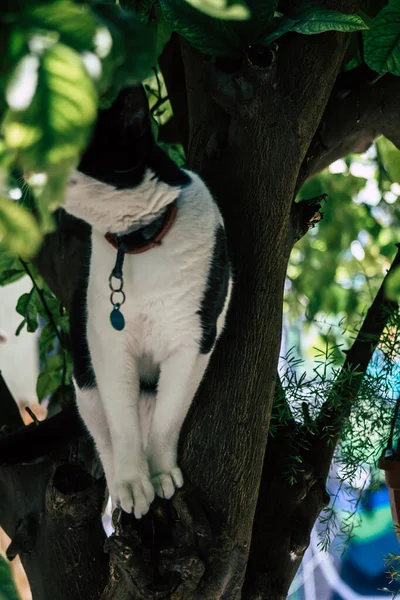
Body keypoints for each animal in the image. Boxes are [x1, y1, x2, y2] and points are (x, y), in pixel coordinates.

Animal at [64, 85, 233, 520]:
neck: (137, 243)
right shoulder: (106, 345)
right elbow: (121, 428)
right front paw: (133, 484)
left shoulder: (193, 340)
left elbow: (169, 418)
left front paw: (160, 475)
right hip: (85, 383)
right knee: (105, 440)